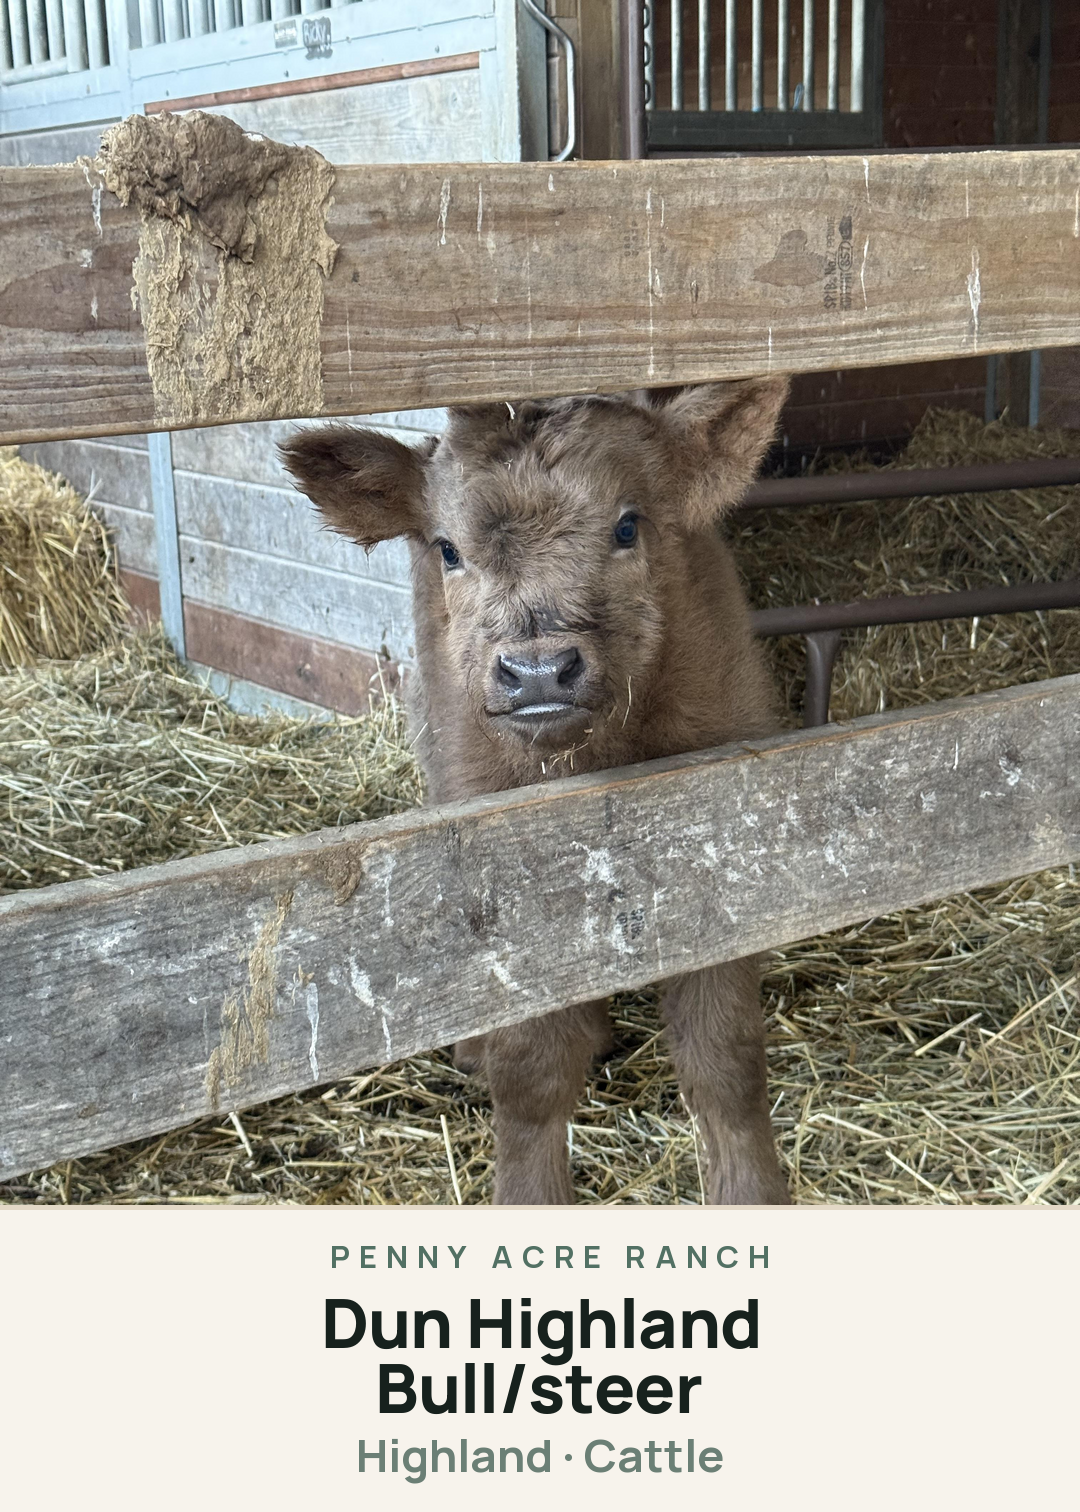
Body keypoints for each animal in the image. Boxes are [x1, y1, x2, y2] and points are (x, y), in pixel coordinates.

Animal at [282, 376, 791, 1205]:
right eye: (449, 548)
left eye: (627, 526)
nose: (539, 670)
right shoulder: (495, 876)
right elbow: (530, 1074)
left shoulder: (728, 853)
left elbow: (725, 1057)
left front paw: (753, 1194)